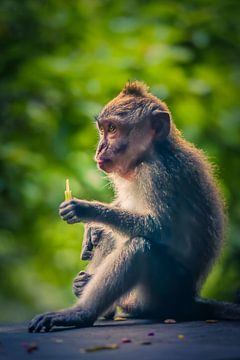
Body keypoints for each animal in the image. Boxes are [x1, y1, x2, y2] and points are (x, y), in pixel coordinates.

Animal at [28, 81, 240, 332]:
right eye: (102, 129)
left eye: (112, 129)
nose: (99, 149)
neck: (146, 157)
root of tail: (189, 300)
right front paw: (91, 228)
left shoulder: (159, 174)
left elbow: (161, 228)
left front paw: (86, 210)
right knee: (113, 235)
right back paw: (92, 294)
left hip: (162, 294)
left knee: (139, 247)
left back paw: (80, 313)